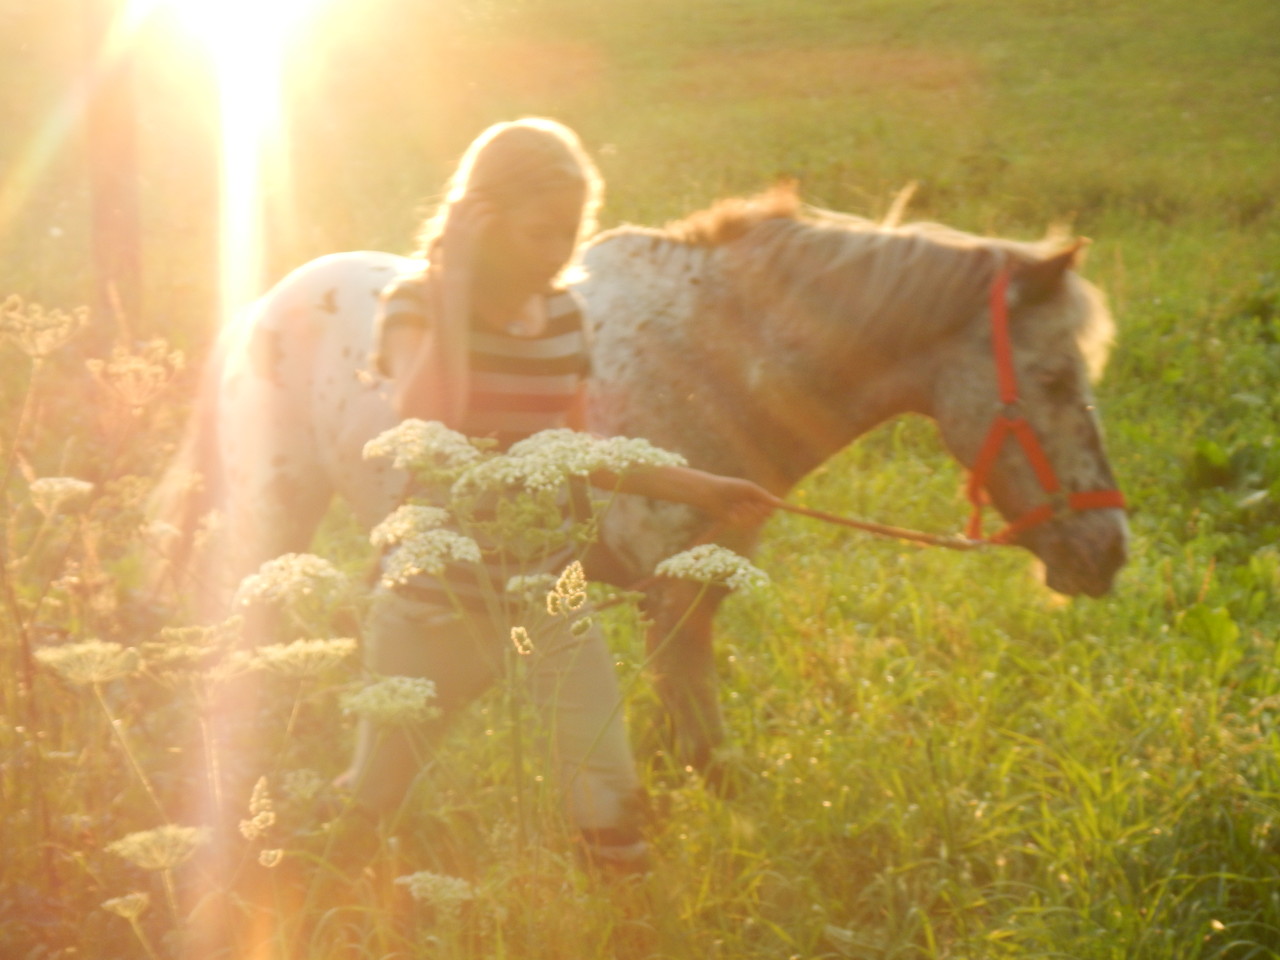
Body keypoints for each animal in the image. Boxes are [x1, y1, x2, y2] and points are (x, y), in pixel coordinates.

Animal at [152, 188, 1131, 783]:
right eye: (1051, 379)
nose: (1108, 551)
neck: (710, 364)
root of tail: (261, 304)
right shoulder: (671, 602)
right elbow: (703, 757)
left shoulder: (695, 599)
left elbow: (700, 756)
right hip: (275, 515)